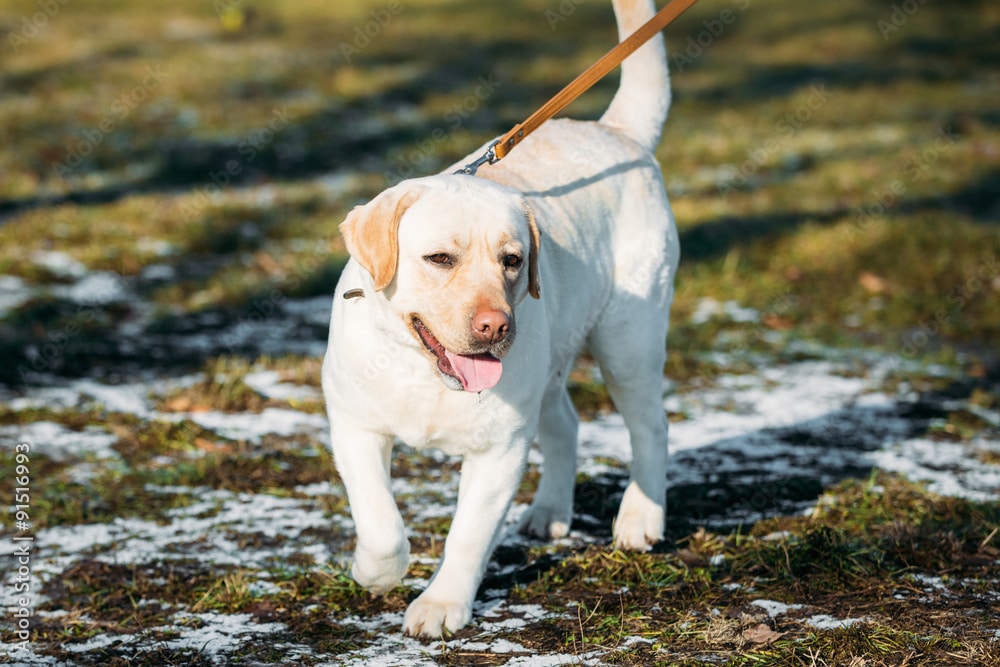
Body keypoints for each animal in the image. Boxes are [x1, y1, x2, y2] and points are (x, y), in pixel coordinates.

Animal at [320, 0, 680, 640]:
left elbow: (467, 538)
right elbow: (380, 523)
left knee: (649, 426)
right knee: (565, 423)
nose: (495, 327)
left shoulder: (499, 451)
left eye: (512, 260)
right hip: (555, 360)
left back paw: (640, 519)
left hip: (628, 339)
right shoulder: (354, 425)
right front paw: (371, 571)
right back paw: (549, 511)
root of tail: (617, 132)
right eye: (440, 258)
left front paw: (441, 606)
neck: (426, 373)